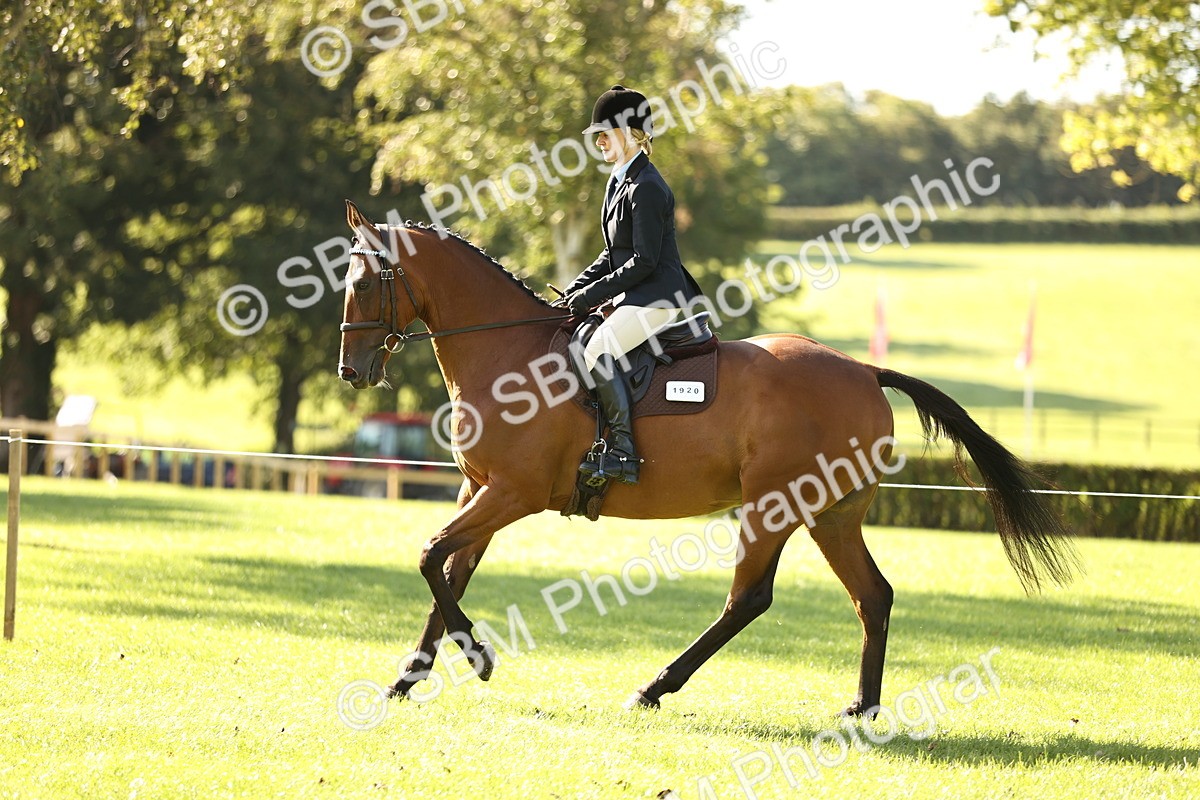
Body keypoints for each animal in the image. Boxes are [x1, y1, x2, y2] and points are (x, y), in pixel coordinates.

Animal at [335, 200, 1077, 716]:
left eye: (366, 283)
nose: (352, 371)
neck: (508, 353)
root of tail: (866, 372)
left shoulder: (512, 494)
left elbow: (430, 557)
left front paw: (480, 658)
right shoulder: (478, 490)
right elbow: (448, 574)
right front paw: (405, 681)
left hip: (775, 505)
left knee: (748, 597)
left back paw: (654, 687)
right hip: (833, 514)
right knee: (873, 596)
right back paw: (862, 707)